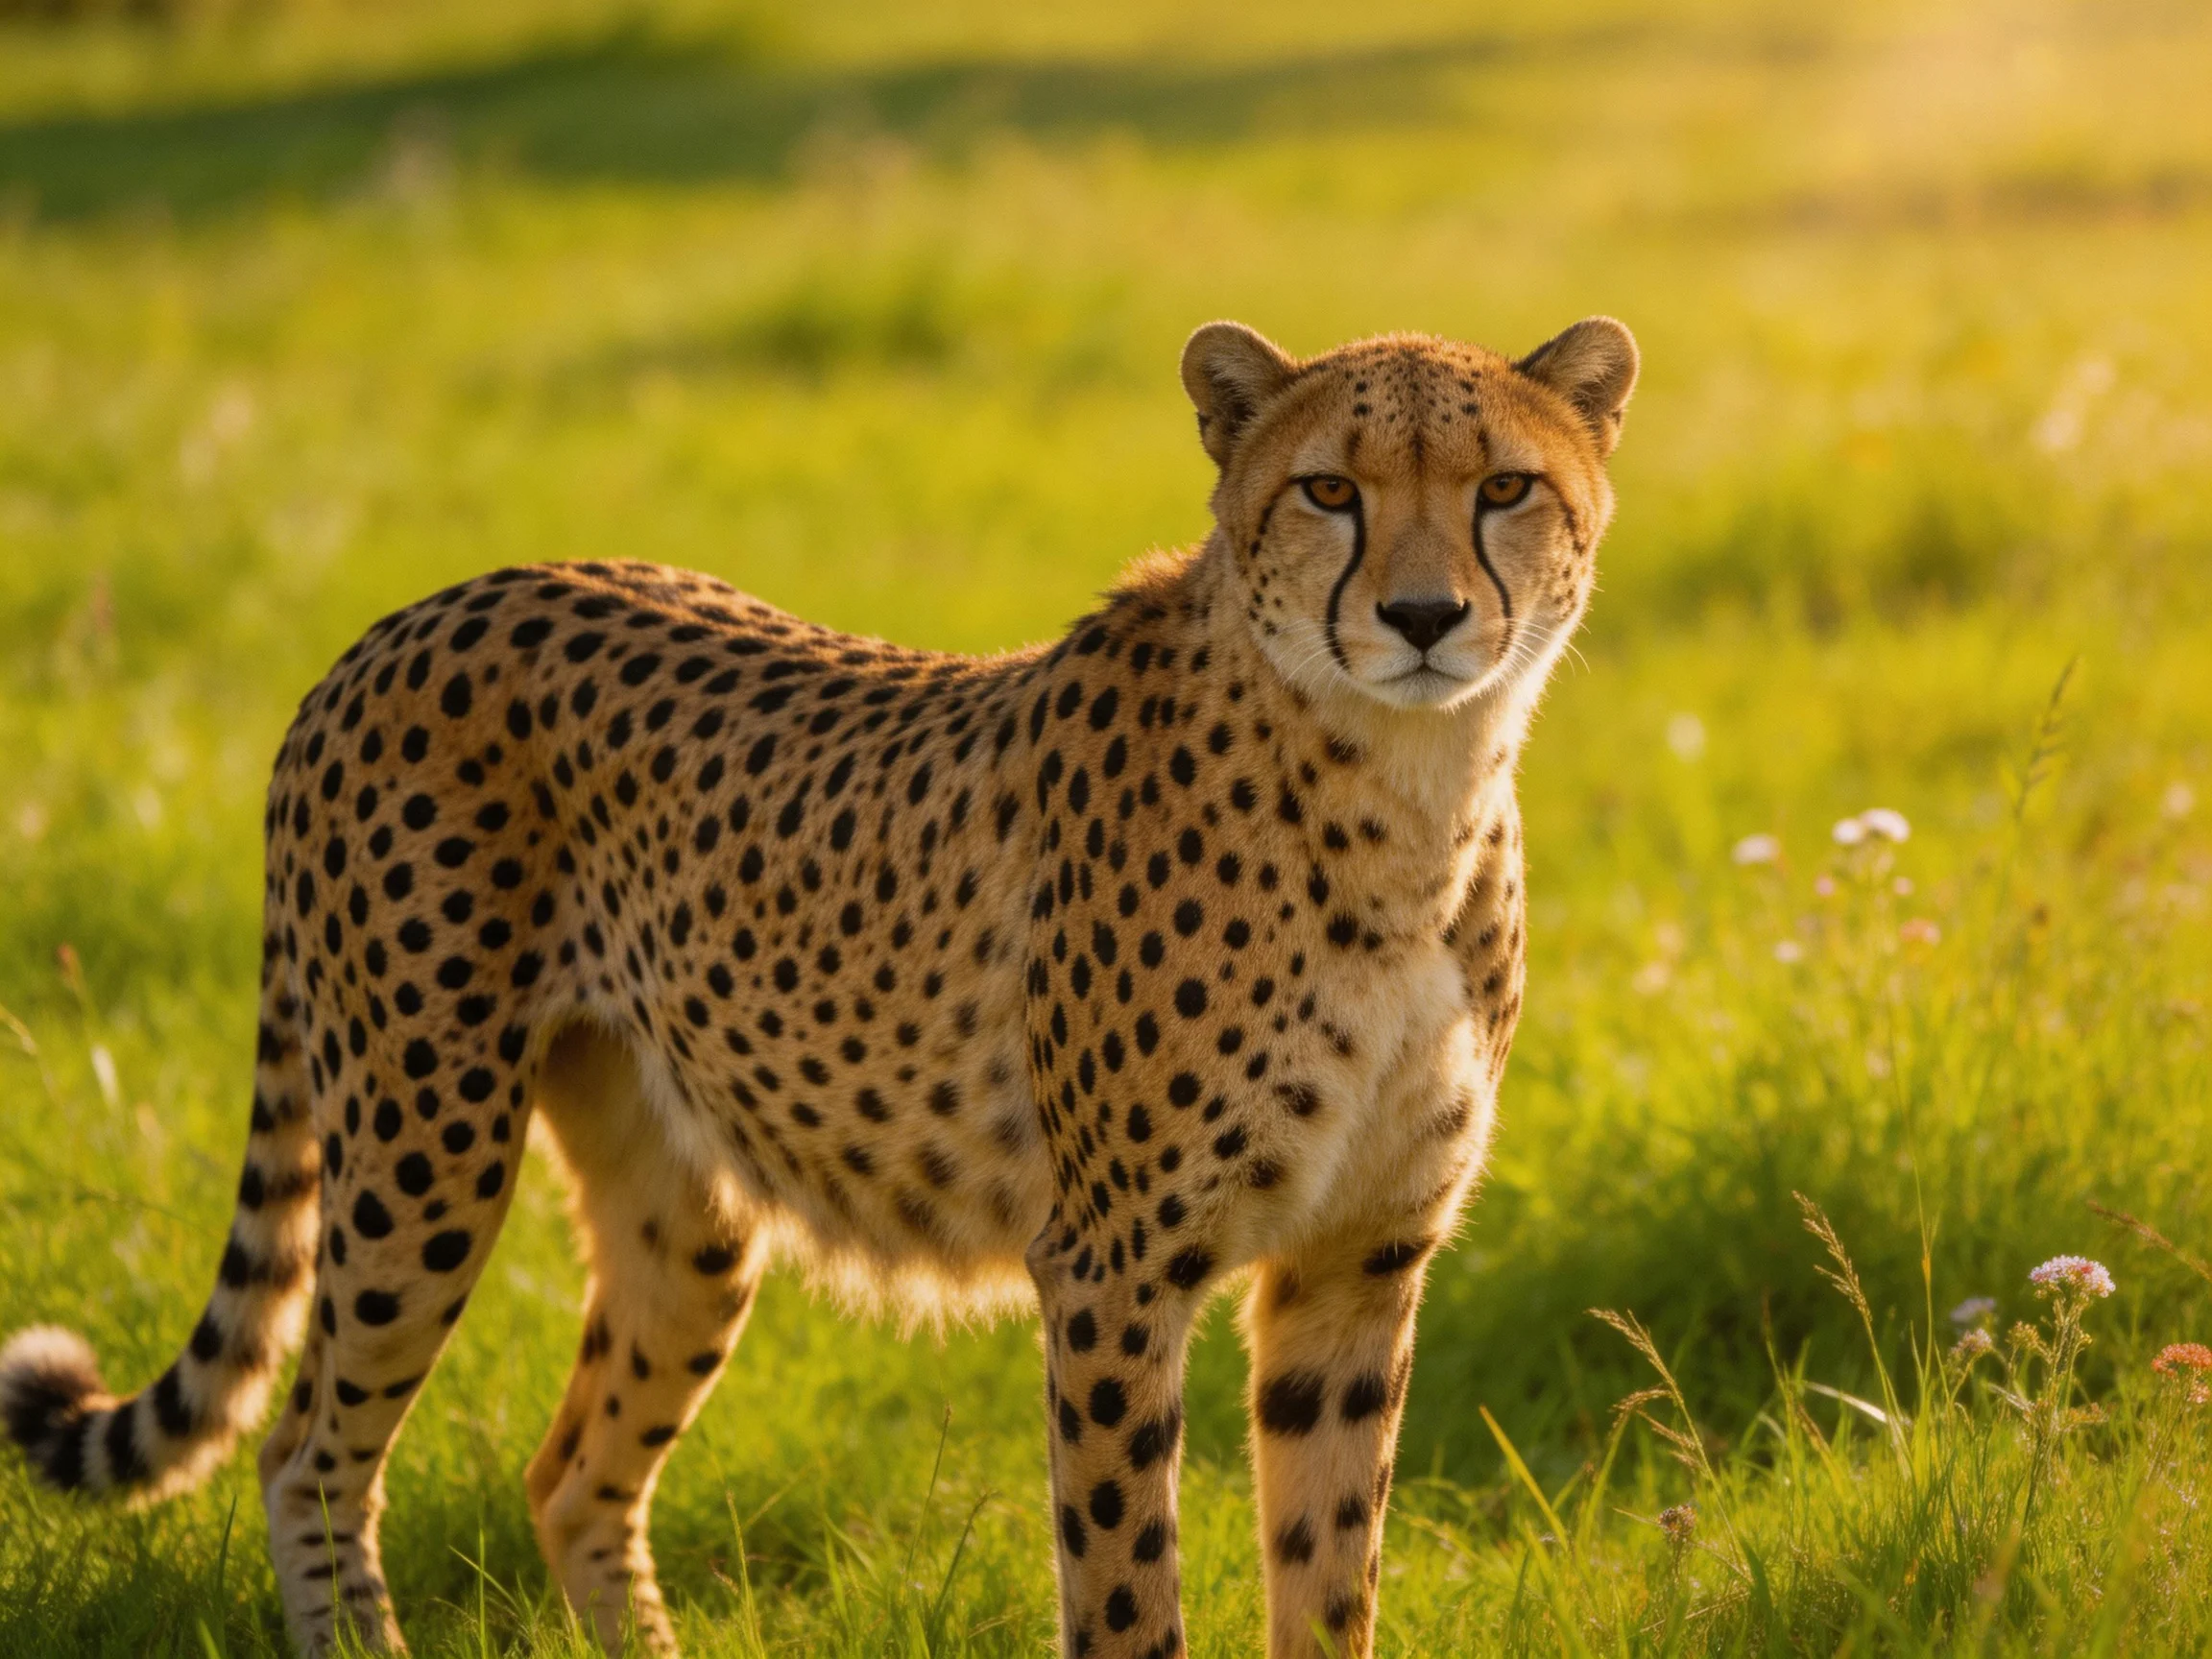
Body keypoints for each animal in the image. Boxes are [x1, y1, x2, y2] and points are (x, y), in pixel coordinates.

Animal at [1, 314, 1636, 1659]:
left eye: (1503, 488)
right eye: (1328, 492)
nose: (1422, 618)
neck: (1408, 794)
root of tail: (402, 620)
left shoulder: (1355, 1267)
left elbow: (1329, 1572)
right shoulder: (1112, 1268)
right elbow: (1126, 1586)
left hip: (684, 1212)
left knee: (571, 1474)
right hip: (424, 1144)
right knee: (307, 1451)